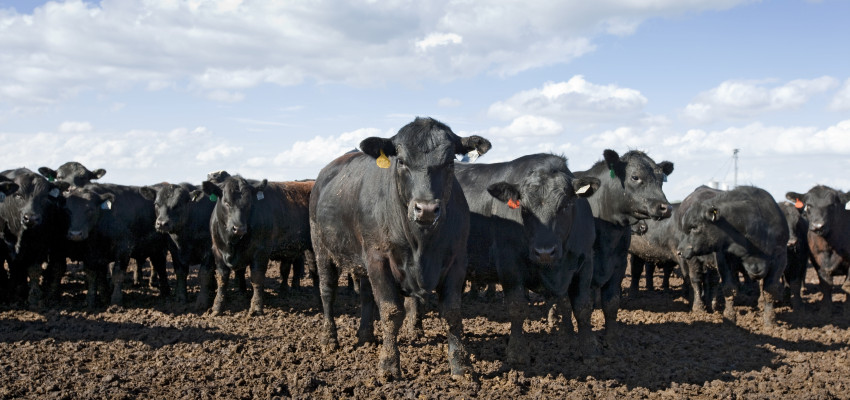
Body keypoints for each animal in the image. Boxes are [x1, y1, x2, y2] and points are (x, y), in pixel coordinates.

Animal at [200, 175, 314, 316]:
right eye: (226, 202)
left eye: (249, 203)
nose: (239, 228)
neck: (232, 244)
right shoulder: (218, 251)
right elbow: (222, 278)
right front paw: (217, 307)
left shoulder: (261, 252)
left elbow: (257, 278)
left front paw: (256, 308)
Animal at [310, 116, 490, 378]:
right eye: (402, 161)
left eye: (450, 162)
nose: (426, 209)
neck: (421, 245)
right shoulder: (379, 259)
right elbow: (391, 311)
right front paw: (389, 364)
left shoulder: (457, 260)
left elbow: (452, 312)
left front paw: (461, 366)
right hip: (322, 249)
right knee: (327, 291)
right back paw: (329, 339)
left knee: (366, 295)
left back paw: (365, 335)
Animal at [676, 186, 788, 326]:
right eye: (688, 228)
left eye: (695, 227)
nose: (679, 250)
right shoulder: (723, 258)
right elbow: (729, 288)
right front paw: (729, 318)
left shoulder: (780, 257)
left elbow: (770, 289)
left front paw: (770, 322)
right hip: (693, 259)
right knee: (696, 280)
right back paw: (698, 307)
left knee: (712, 282)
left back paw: (712, 305)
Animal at [780, 186, 848, 318]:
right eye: (809, 205)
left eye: (832, 205)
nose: (818, 226)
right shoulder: (818, 265)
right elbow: (826, 286)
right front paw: (825, 311)